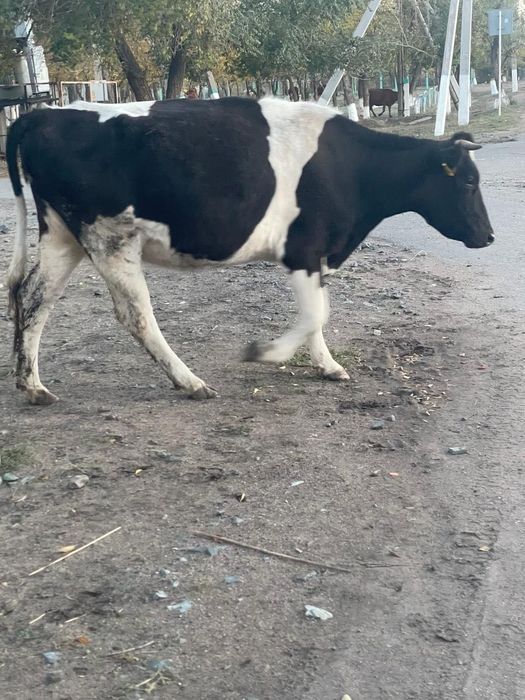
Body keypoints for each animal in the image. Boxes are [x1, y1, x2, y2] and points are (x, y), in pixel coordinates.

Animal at [5, 97, 494, 406]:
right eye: (469, 181)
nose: (489, 237)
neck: (349, 168)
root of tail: (42, 114)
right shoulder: (303, 248)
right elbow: (316, 314)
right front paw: (265, 353)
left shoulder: (315, 256)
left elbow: (318, 315)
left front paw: (328, 366)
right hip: (110, 238)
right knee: (135, 315)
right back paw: (190, 382)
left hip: (63, 236)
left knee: (33, 299)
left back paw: (32, 386)